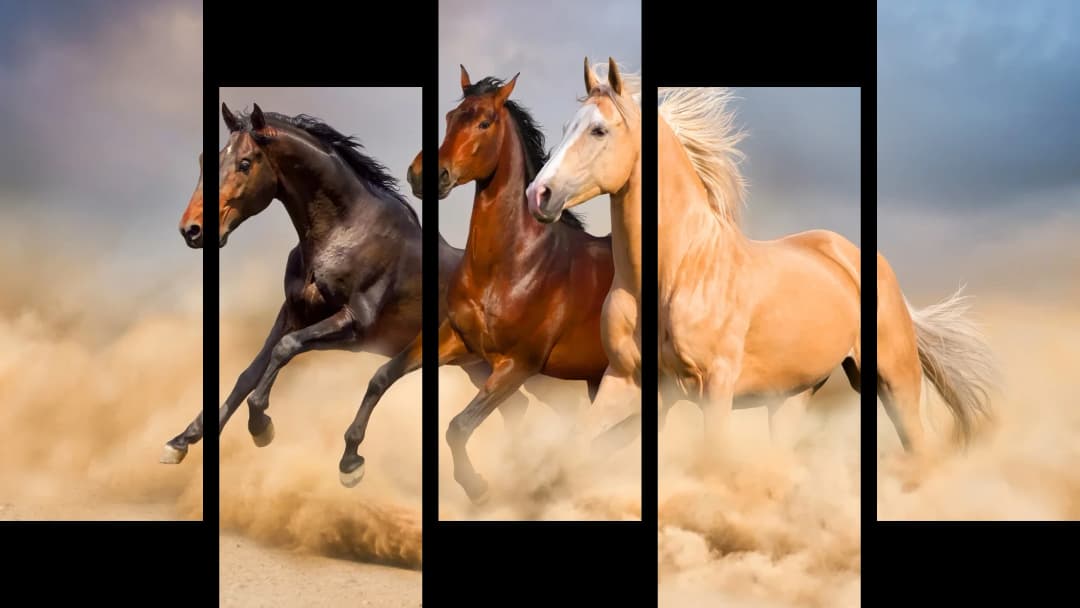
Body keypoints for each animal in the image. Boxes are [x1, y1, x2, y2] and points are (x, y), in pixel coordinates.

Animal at [162, 103, 535, 488]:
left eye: (246, 163)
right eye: (206, 159)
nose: (192, 230)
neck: (344, 232)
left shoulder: (353, 325)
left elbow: (286, 349)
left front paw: (261, 426)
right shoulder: (293, 313)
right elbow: (249, 373)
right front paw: (182, 441)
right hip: (477, 365)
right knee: (515, 407)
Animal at [400, 66, 615, 504]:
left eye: (484, 122)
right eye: (450, 117)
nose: (424, 175)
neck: (513, 265)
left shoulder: (517, 365)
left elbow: (458, 426)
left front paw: (478, 488)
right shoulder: (461, 343)